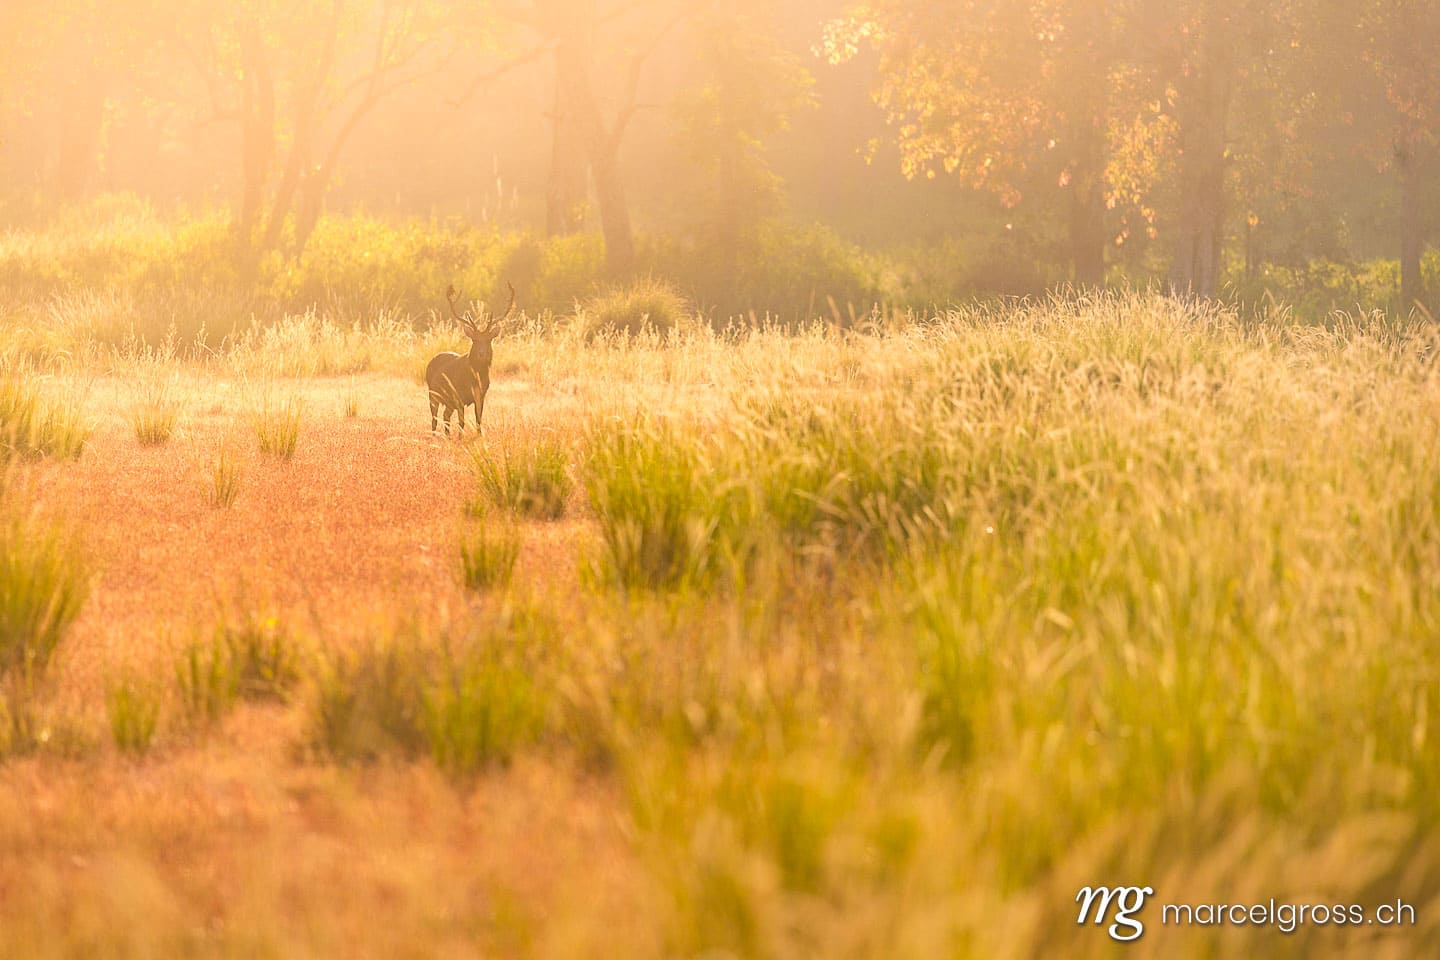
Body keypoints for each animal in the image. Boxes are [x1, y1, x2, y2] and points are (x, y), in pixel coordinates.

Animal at [426, 281, 517, 435]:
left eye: (488, 340)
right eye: (474, 340)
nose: (481, 353)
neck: (475, 378)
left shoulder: (481, 396)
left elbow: (478, 421)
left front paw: (479, 437)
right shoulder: (458, 396)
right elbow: (461, 422)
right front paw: (460, 438)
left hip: (448, 401)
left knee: (445, 416)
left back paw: (447, 436)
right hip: (433, 393)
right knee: (434, 418)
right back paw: (434, 436)